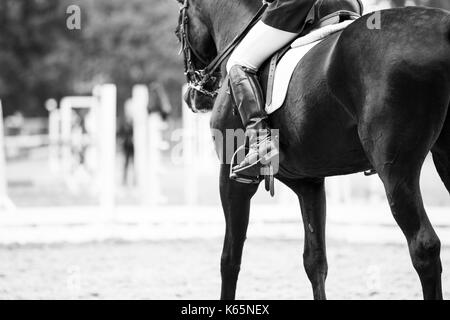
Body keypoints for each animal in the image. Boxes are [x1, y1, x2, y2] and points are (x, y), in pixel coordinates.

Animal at [175, 0, 450, 300]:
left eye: (179, 32)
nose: (193, 97)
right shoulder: (308, 183)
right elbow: (315, 261)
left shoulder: (233, 177)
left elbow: (230, 258)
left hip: (395, 170)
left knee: (423, 246)